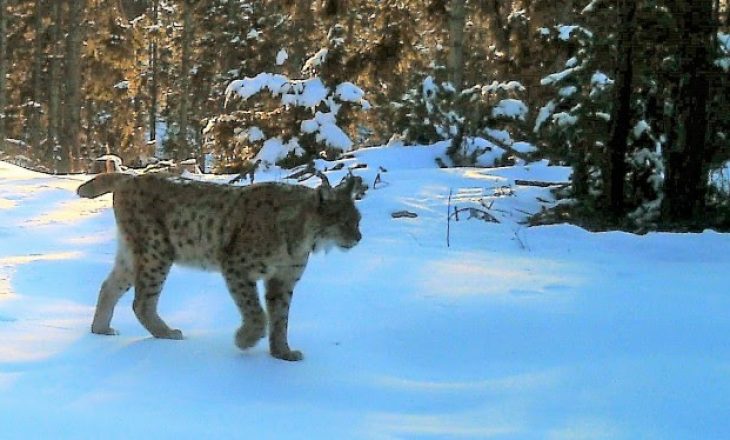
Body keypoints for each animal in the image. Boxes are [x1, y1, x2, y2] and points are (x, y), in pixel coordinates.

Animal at [77, 172, 362, 360]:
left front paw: (282, 352)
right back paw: (166, 333)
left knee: (109, 286)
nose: (359, 238)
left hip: (135, 252)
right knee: (141, 301)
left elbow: (281, 317)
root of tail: (131, 176)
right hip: (157, 250)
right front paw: (245, 339)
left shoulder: (283, 279)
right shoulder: (236, 266)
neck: (304, 235)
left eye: (358, 220)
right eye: (345, 221)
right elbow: (257, 313)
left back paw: (101, 330)